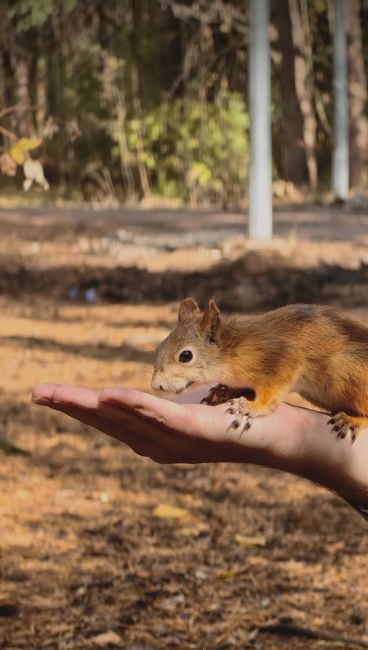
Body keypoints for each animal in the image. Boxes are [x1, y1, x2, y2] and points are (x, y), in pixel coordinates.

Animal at [151, 298, 368, 440]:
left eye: (185, 356)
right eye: (159, 346)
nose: (156, 385)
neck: (230, 352)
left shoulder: (281, 358)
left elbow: (271, 392)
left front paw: (252, 407)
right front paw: (224, 391)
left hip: (348, 374)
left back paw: (352, 420)